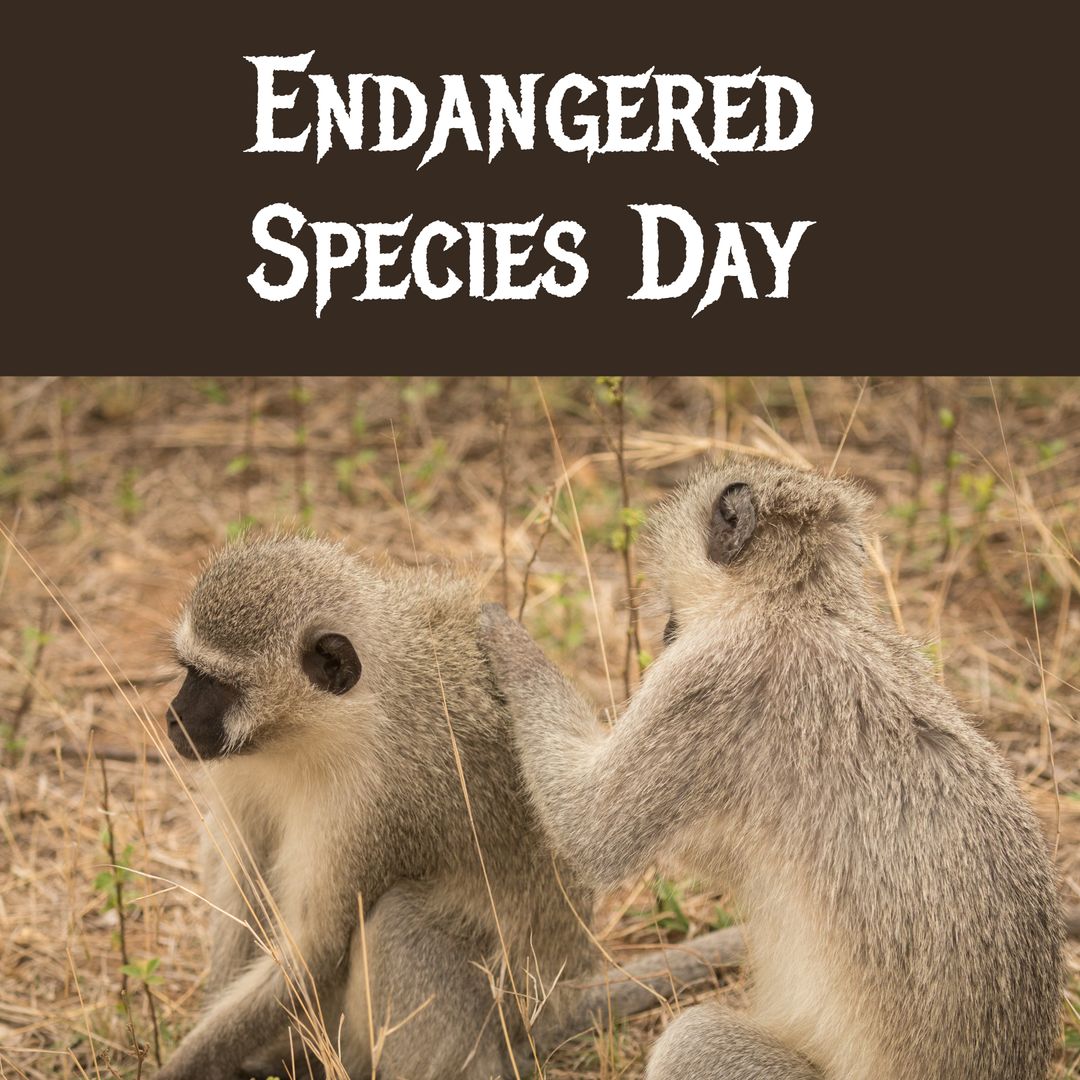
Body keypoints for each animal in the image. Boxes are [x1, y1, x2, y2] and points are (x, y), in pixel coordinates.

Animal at [156, 534, 594, 1080]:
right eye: (190, 672)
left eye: (219, 685)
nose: (174, 718)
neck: (315, 729)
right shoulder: (240, 764)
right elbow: (243, 869)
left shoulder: (373, 803)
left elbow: (315, 946)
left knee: (396, 921)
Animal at [479, 453, 1063, 1080]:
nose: (666, 634)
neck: (794, 602)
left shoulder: (711, 684)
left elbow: (591, 832)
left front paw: (498, 630)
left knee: (694, 1040)